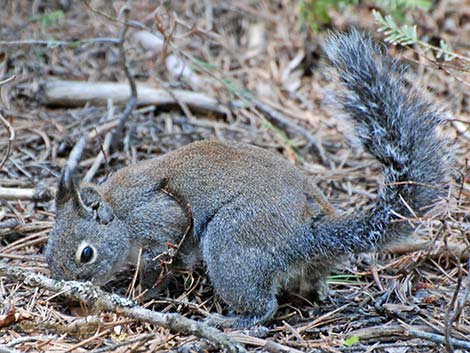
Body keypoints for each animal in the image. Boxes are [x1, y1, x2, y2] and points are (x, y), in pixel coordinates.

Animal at [45, 30, 452, 328]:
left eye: (85, 253)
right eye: (47, 249)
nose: (63, 288)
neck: (119, 209)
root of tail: (307, 234)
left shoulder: (159, 221)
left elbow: (162, 258)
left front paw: (144, 294)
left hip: (231, 244)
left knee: (264, 305)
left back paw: (232, 321)